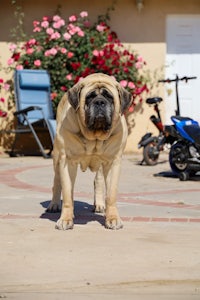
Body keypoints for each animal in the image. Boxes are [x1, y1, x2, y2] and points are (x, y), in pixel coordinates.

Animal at [46, 72, 131, 230]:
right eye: (90, 97)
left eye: (109, 97)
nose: (100, 102)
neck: (95, 137)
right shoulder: (67, 161)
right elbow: (67, 193)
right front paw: (66, 219)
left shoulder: (112, 162)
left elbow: (111, 194)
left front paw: (112, 218)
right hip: (57, 159)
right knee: (57, 182)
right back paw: (54, 205)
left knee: (98, 180)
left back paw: (99, 204)